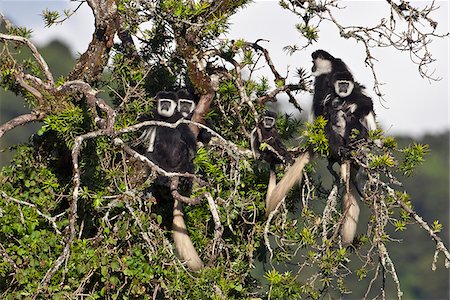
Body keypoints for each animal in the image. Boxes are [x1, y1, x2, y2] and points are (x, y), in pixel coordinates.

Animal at [141, 90, 204, 270]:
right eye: (162, 101)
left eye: (168, 102)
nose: (164, 106)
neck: (167, 120)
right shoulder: (154, 121)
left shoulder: (180, 122)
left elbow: (191, 146)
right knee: (152, 155)